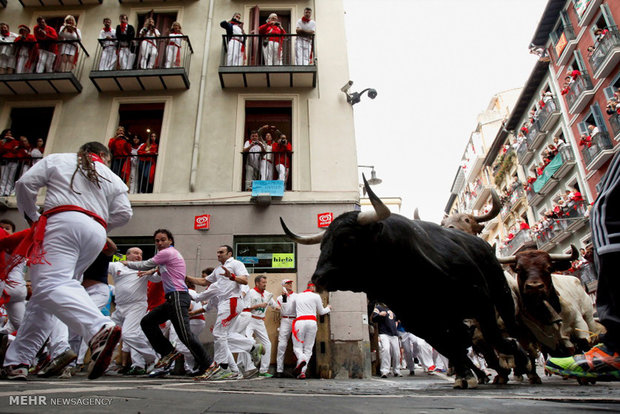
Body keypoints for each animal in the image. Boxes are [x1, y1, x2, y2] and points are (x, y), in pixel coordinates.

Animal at [280, 177, 528, 388]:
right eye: (323, 244)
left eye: (348, 239)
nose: (318, 277)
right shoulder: (419, 321)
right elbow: (450, 345)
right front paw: (467, 375)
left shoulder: (481, 301)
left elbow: (491, 336)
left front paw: (514, 359)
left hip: (501, 293)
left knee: (510, 327)